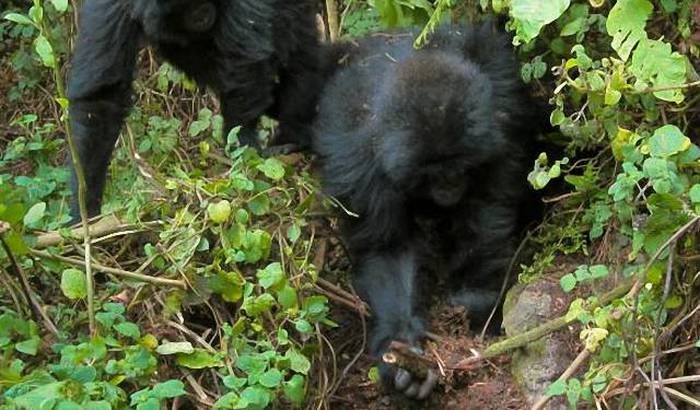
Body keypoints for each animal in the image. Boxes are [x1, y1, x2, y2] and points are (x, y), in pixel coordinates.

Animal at [314, 24, 544, 398]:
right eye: (430, 172)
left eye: (458, 165)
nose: (449, 186)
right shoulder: (361, 163)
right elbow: (387, 249)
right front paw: (402, 344)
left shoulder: (497, 120)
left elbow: (486, 212)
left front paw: (475, 302)